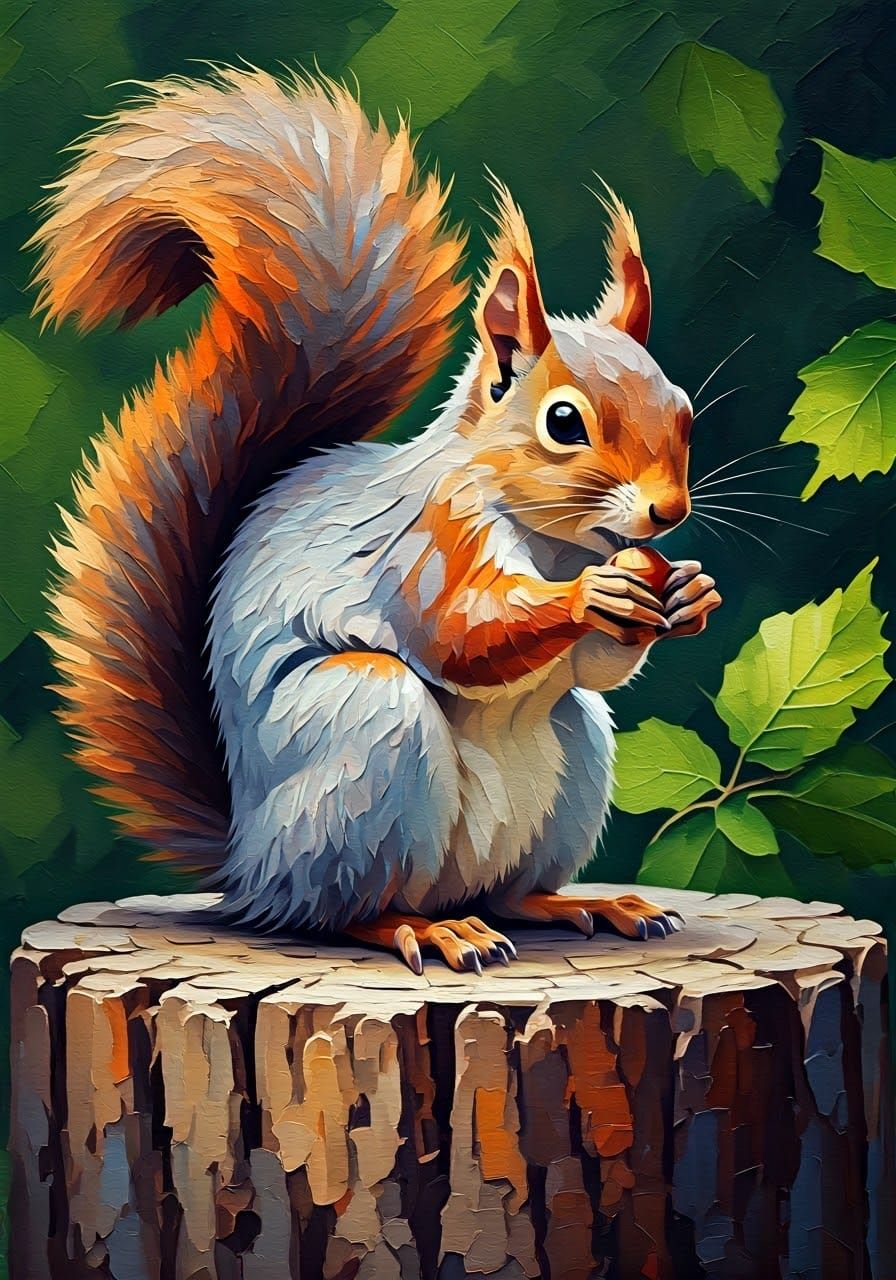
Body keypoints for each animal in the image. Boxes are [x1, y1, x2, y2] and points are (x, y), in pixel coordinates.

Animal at [33, 68, 721, 974]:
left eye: (683, 414)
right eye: (564, 423)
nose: (668, 511)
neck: (552, 541)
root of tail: (247, 861)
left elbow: (597, 668)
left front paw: (689, 595)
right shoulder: (426, 544)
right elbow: (460, 632)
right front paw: (588, 599)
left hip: (575, 755)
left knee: (514, 880)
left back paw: (582, 903)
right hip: (365, 737)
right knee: (334, 912)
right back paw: (421, 929)